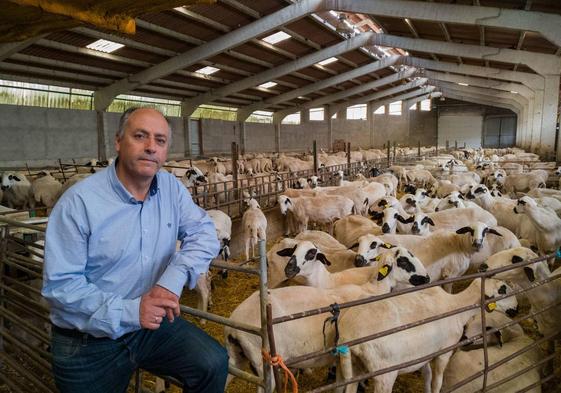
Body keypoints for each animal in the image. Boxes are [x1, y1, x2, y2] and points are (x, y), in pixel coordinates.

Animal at [223, 247, 428, 390]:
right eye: (403, 261)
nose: (427, 278)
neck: (373, 289)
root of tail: (234, 323)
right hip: (264, 366)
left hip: (235, 358)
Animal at [336, 276, 516, 392]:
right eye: (502, 290)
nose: (516, 309)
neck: (457, 306)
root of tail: (349, 333)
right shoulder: (444, 352)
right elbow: (437, 382)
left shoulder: (424, 354)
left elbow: (427, 377)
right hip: (384, 373)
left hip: (355, 365)